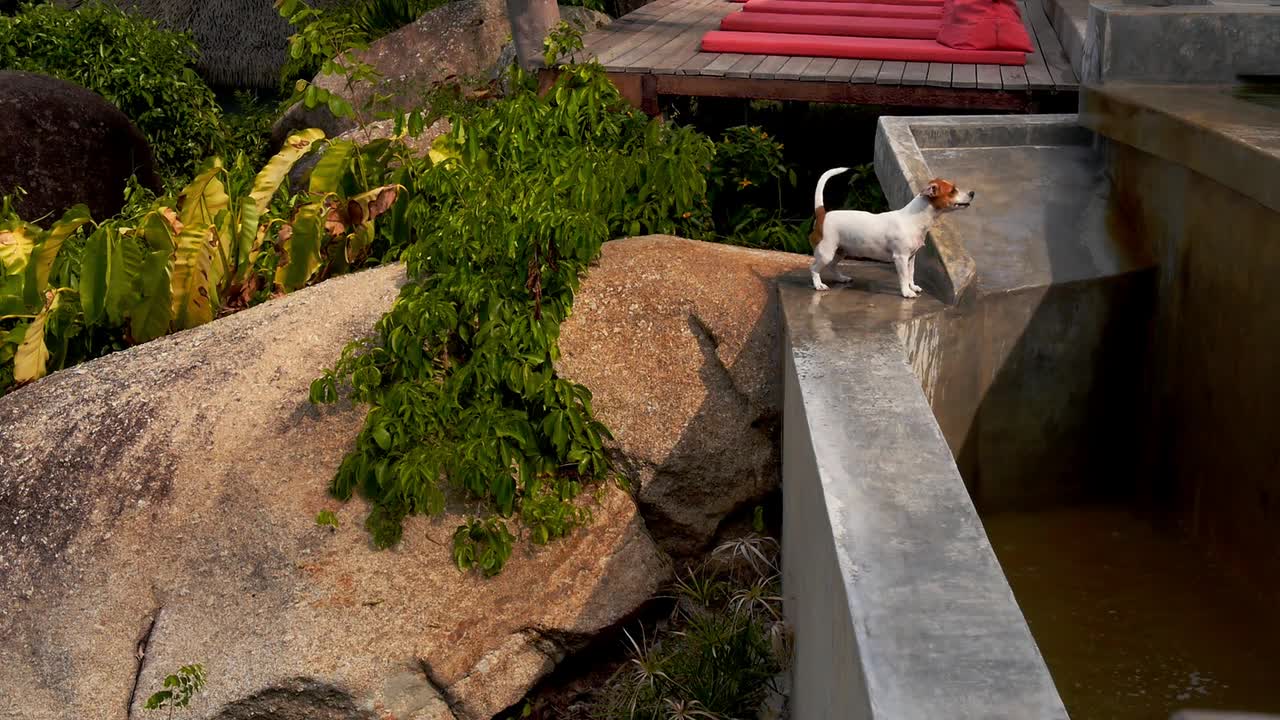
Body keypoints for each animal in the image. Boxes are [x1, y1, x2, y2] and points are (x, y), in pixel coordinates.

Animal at [803, 167, 972, 297]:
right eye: (952, 191)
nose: (972, 193)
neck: (914, 219)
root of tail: (823, 214)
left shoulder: (911, 258)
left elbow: (911, 274)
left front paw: (912, 286)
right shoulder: (901, 258)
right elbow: (903, 276)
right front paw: (906, 292)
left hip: (841, 251)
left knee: (832, 266)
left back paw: (841, 278)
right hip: (826, 252)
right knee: (814, 268)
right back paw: (819, 285)